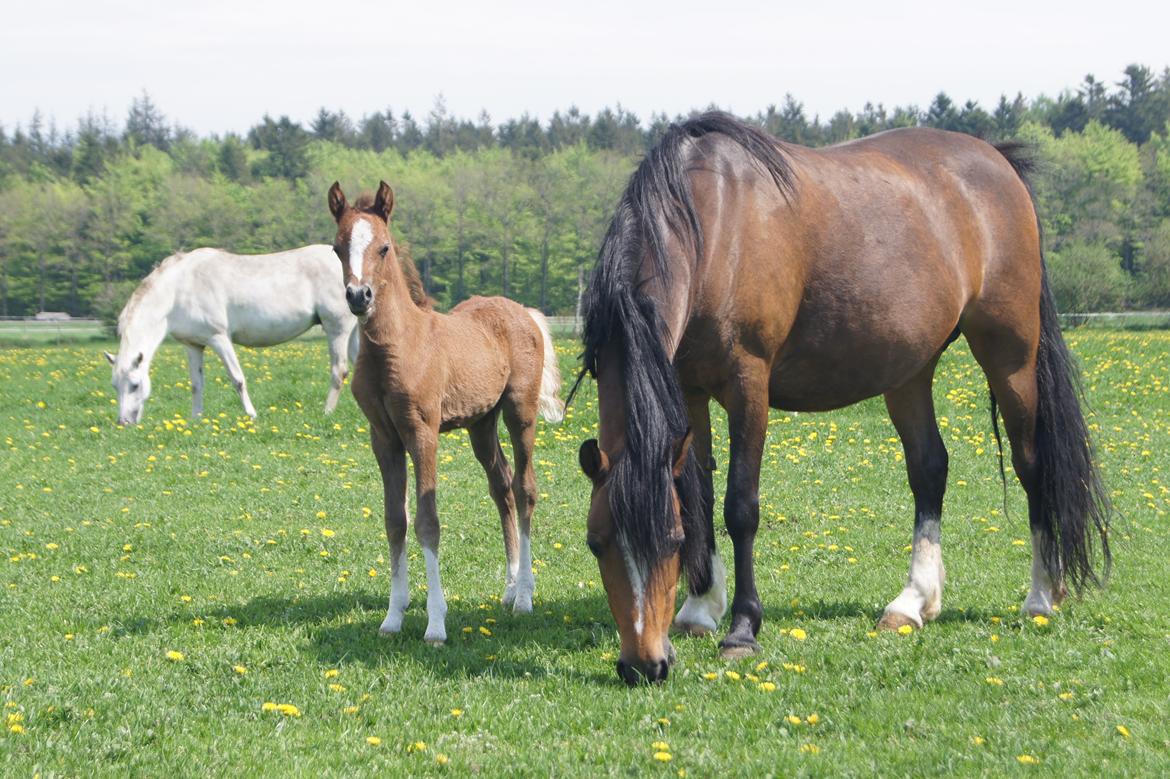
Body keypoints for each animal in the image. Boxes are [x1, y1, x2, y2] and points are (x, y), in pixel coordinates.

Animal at [105, 244, 360, 421]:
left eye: (135, 385)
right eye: (115, 386)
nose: (124, 422)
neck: (178, 290)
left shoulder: (219, 338)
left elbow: (237, 379)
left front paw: (251, 415)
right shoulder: (193, 345)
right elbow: (196, 384)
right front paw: (195, 419)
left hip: (337, 329)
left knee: (339, 371)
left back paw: (327, 412)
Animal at [329, 178, 566, 640]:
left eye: (383, 247)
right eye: (337, 247)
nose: (359, 296)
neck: (395, 347)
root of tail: (523, 311)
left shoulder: (422, 433)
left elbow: (427, 522)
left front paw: (436, 624)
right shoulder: (384, 438)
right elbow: (395, 521)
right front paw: (393, 617)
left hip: (519, 412)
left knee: (525, 489)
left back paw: (525, 598)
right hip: (481, 424)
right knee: (501, 487)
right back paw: (510, 587)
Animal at [575, 112, 1113, 683]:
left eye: (671, 544)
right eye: (596, 543)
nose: (643, 665)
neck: (711, 224)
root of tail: (997, 160)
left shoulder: (748, 384)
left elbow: (740, 505)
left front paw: (742, 628)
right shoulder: (687, 388)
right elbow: (695, 495)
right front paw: (700, 607)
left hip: (1010, 356)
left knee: (1032, 465)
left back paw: (1040, 597)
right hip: (910, 370)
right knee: (929, 470)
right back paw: (913, 602)